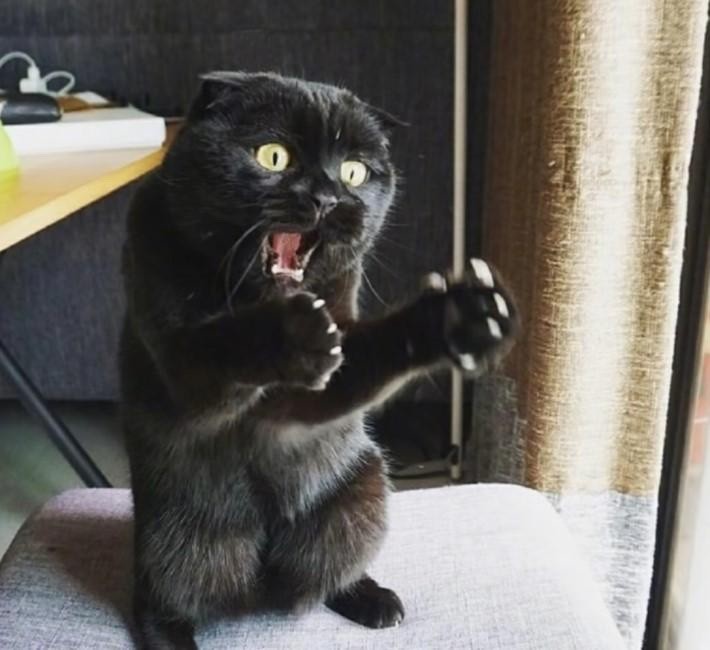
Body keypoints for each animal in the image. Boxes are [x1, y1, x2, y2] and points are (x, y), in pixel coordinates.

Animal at [120, 71, 517, 649]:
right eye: (273, 157)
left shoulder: (306, 400)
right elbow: (223, 346)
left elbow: (364, 357)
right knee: (158, 600)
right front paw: (292, 334)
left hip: (362, 498)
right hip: (175, 543)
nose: (328, 198)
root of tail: (261, 569)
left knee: (320, 577)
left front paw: (460, 317)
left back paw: (373, 600)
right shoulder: (181, 370)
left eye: (354, 171)